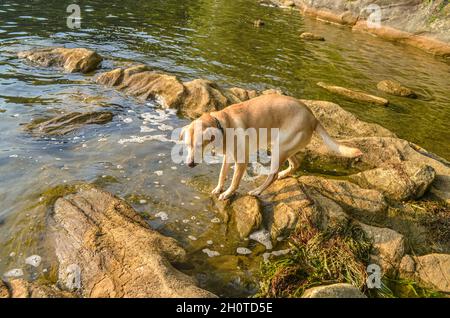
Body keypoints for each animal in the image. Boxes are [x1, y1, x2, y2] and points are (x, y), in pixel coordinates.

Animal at [179, 93, 362, 200]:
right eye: (187, 144)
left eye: (200, 145)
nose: (189, 164)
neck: (223, 124)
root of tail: (313, 117)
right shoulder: (227, 158)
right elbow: (222, 175)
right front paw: (218, 188)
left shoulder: (241, 161)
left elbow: (235, 181)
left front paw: (227, 193)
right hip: (283, 147)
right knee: (295, 163)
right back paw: (283, 174)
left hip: (279, 149)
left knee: (272, 175)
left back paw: (258, 191)